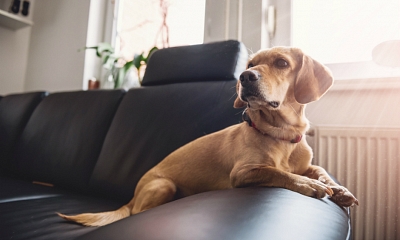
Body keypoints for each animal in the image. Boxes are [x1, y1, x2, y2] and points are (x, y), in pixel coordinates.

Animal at [57, 47, 358, 227]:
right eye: (251, 63)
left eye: (282, 63)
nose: (245, 76)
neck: (281, 136)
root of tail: (131, 195)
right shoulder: (244, 172)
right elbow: (278, 173)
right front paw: (308, 184)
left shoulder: (307, 163)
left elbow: (320, 170)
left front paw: (340, 189)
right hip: (163, 185)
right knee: (136, 213)